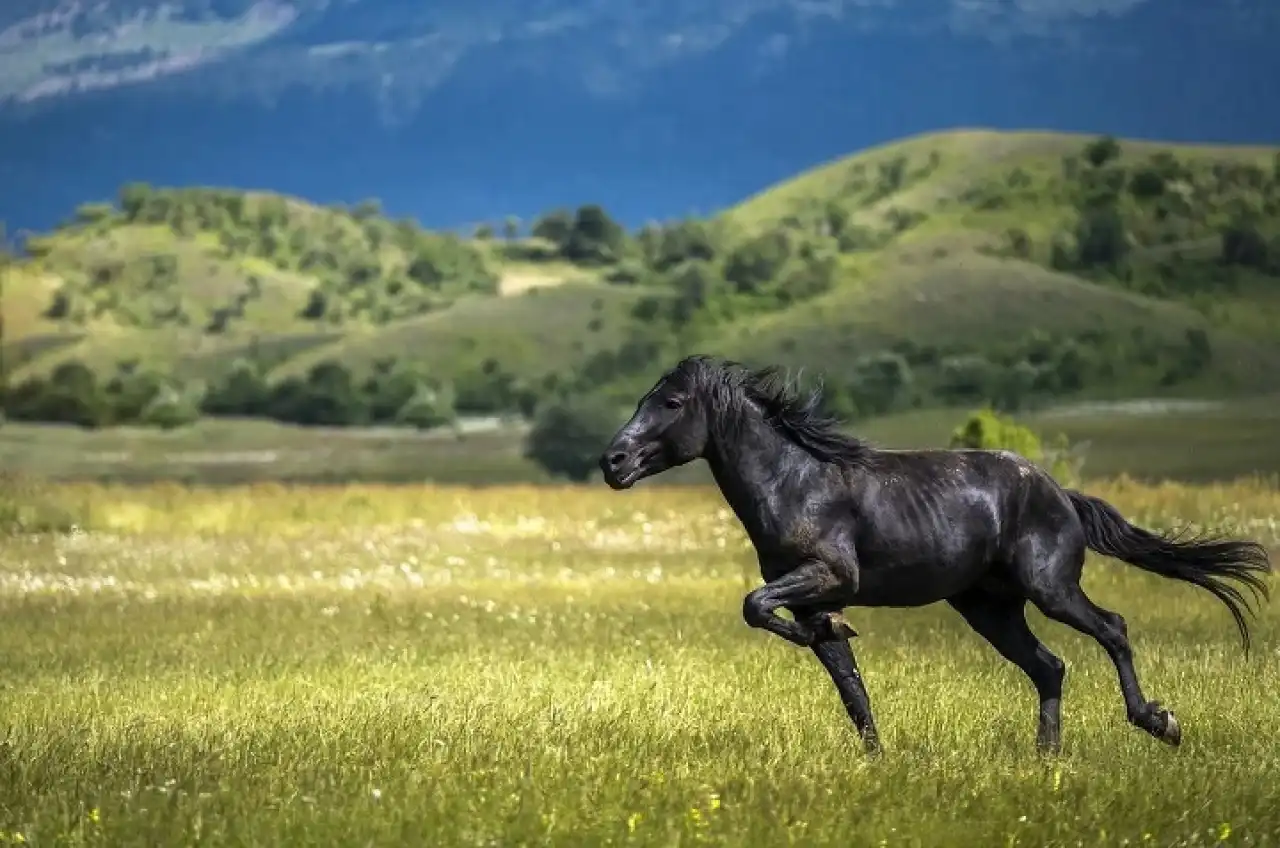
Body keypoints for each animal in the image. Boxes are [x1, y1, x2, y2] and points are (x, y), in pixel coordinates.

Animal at [596, 356, 1269, 753]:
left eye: (672, 402)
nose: (613, 462)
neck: (796, 481)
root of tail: (1060, 493)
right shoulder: (812, 595)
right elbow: (847, 683)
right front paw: (874, 756)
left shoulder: (829, 575)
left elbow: (754, 605)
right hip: (990, 608)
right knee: (1050, 666)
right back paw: (1046, 760)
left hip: (1051, 588)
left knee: (1113, 629)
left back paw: (1159, 723)